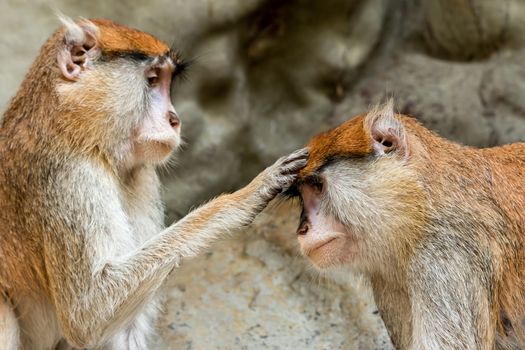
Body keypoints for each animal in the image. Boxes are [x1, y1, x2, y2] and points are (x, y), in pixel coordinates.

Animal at [0, 18, 308, 350]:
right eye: (151, 80)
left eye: (167, 82)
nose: (174, 119)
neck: (72, 125)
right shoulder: (69, 175)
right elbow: (89, 313)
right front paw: (243, 198)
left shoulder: (140, 175)